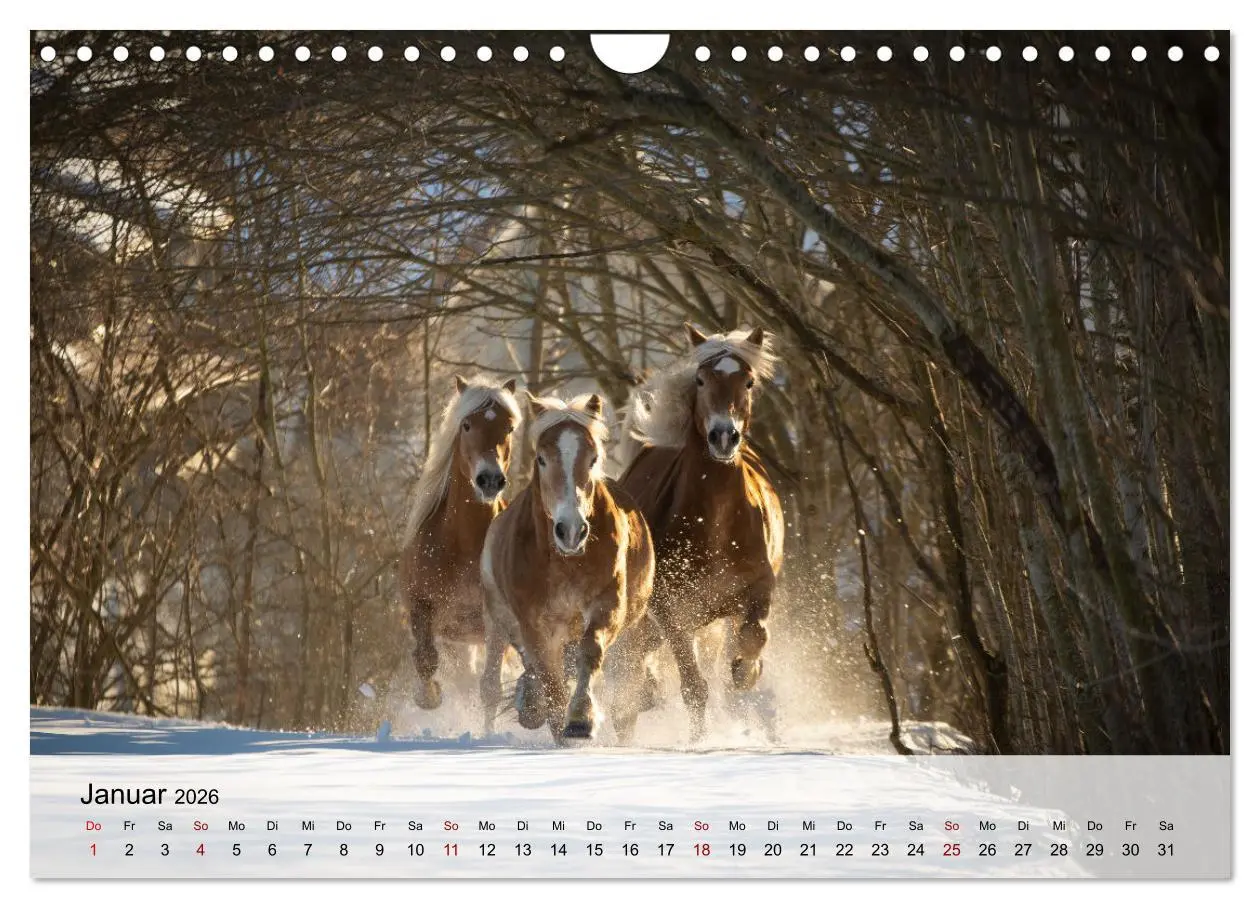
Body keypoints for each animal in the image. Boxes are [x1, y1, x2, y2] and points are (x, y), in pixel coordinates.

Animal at [399, 375, 521, 710]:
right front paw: (428, 696)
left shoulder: (498, 624)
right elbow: (425, 659)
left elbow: (491, 687)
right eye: (466, 425)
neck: (464, 544)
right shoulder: (422, 606)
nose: (490, 480)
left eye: (509, 428)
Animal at [479, 393, 656, 743]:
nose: (571, 530)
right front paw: (557, 723)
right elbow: (549, 679)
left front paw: (579, 720)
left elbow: (590, 652)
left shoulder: (607, 606)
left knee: (625, 696)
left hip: (630, 634)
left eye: (592, 458)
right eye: (542, 459)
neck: (564, 563)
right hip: (499, 620)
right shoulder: (534, 626)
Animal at [617, 324, 785, 741]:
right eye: (700, 379)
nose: (723, 436)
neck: (716, 523)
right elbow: (693, 687)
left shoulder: (759, 587)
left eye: (748, 381)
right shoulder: (670, 608)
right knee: (636, 661)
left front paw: (745, 672)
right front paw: (698, 742)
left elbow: (754, 636)